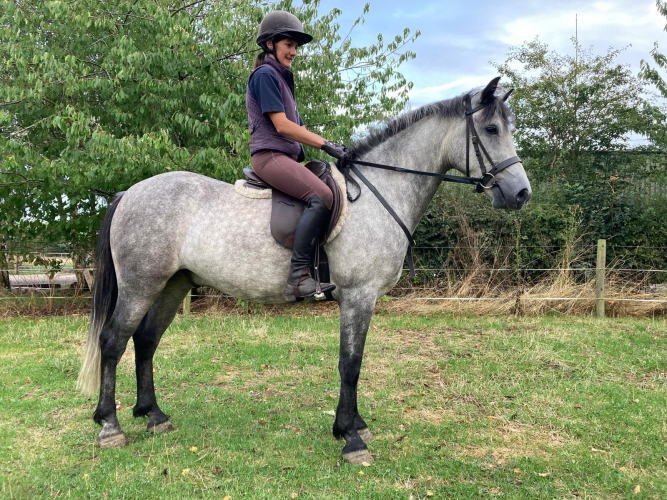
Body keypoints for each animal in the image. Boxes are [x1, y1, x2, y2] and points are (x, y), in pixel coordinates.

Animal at [76, 77, 532, 464]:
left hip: (173, 285)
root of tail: (130, 192)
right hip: (141, 284)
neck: (380, 193)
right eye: (492, 129)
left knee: (146, 341)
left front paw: (354, 425)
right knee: (113, 342)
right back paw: (110, 426)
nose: (521, 194)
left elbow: (354, 362)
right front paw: (351, 438)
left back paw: (154, 416)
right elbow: (351, 364)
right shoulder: (358, 296)